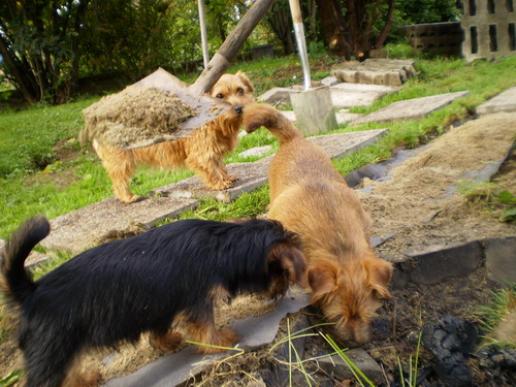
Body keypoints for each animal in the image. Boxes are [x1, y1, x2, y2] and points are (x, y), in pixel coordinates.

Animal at [0, 217, 304, 386]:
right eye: (284, 274)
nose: (281, 294)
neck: (222, 245)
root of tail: (32, 292)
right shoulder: (196, 301)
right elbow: (205, 325)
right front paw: (219, 341)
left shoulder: (161, 303)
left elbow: (160, 327)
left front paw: (167, 342)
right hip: (52, 349)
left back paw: (85, 380)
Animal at [93, 71, 255, 203]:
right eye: (219, 96)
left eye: (240, 90)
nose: (239, 108)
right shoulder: (201, 153)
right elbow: (211, 168)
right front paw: (219, 183)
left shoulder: (212, 149)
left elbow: (219, 165)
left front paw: (226, 177)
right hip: (121, 159)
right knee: (119, 180)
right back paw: (128, 197)